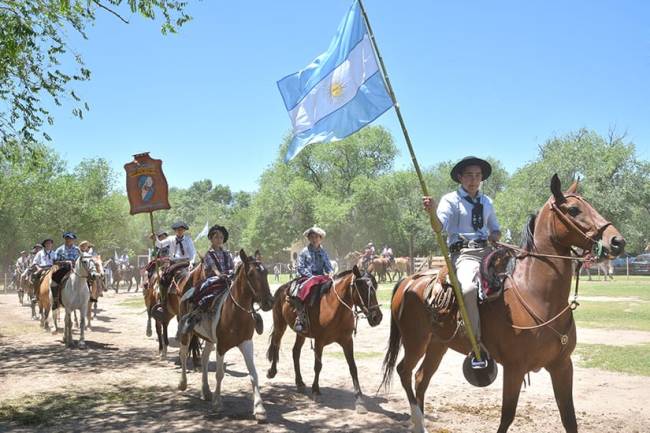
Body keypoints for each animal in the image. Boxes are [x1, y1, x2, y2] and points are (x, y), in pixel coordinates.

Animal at [177, 250, 274, 422]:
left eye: (266, 272)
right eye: (251, 273)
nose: (269, 302)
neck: (236, 312)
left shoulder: (246, 343)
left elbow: (253, 374)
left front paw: (260, 409)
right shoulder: (221, 346)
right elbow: (219, 374)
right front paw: (217, 403)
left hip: (209, 339)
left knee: (204, 358)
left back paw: (206, 391)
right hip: (186, 333)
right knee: (183, 354)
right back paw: (183, 383)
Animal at [266, 264, 382, 414]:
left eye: (375, 286)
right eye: (361, 287)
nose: (377, 317)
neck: (334, 307)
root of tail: (283, 288)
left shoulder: (347, 341)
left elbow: (353, 367)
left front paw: (359, 399)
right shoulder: (319, 341)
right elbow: (318, 366)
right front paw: (316, 391)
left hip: (300, 333)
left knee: (295, 352)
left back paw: (300, 382)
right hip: (280, 324)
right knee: (276, 343)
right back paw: (272, 371)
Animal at [380, 175, 624, 432]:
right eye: (574, 209)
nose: (617, 241)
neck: (536, 295)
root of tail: (408, 280)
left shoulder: (562, 366)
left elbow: (569, 418)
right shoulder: (514, 368)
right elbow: (507, 415)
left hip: (437, 344)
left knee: (420, 379)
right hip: (415, 341)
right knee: (404, 371)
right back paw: (417, 420)